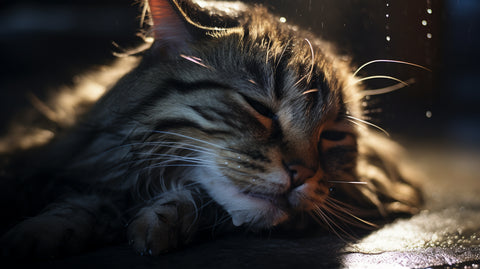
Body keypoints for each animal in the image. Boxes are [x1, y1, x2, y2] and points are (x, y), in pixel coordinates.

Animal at [0, 0, 422, 258]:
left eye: (333, 135)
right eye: (259, 107)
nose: (301, 174)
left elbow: (197, 201)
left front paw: (158, 224)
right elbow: (85, 199)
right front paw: (39, 232)